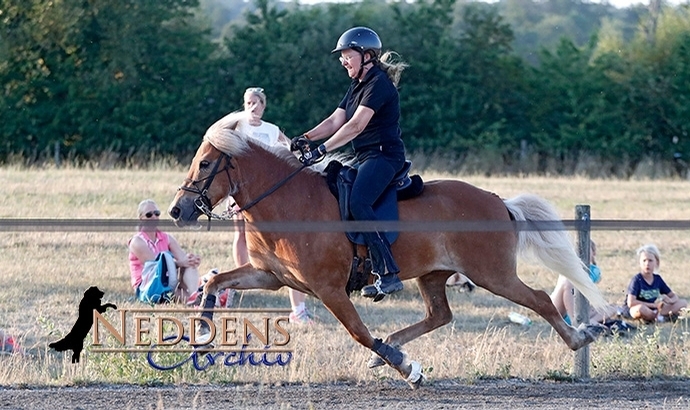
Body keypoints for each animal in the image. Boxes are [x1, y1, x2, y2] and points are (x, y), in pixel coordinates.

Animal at [169, 111, 604, 388]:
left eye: (205, 164)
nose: (177, 211)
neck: (288, 201)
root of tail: (499, 202)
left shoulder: (328, 289)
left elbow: (359, 332)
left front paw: (408, 369)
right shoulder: (271, 277)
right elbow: (214, 281)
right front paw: (202, 331)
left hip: (492, 274)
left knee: (539, 299)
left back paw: (579, 337)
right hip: (434, 275)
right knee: (440, 315)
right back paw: (391, 347)